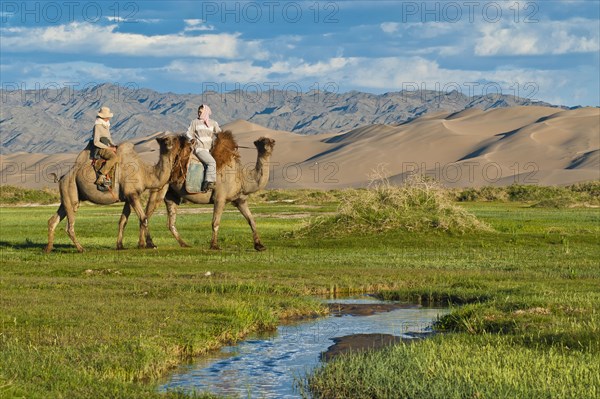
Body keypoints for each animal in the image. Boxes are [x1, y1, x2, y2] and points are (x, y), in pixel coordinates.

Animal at [44, 135, 184, 253]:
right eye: (167, 140)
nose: (181, 139)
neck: (145, 173)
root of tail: (62, 177)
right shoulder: (132, 194)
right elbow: (144, 218)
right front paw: (151, 244)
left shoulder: (129, 197)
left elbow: (123, 221)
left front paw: (120, 246)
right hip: (70, 188)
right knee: (69, 225)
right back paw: (81, 249)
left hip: (68, 196)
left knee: (53, 220)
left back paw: (48, 249)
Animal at [139, 130, 276, 250]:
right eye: (262, 142)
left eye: (270, 141)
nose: (270, 145)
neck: (241, 177)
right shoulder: (220, 198)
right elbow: (215, 222)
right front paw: (214, 246)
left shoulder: (240, 200)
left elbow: (251, 220)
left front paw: (260, 246)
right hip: (160, 187)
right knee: (146, 215)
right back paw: (148, 244)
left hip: (171, 194)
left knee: (170, 221)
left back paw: (184, 244)